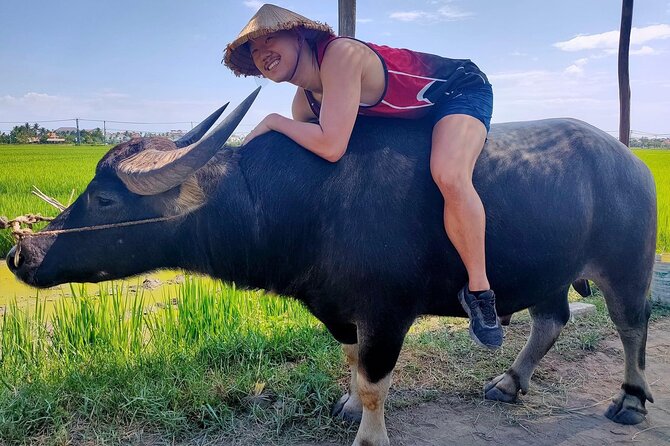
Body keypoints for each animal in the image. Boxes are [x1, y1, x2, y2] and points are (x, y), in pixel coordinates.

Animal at [7, 88, 657, 446]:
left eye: (106, 199)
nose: (21, 253)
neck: (305, 201)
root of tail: (630, 160)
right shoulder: (337, 308)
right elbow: (351, 363)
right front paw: (346, 404)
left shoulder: (388, 314)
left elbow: (374, 379)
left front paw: (369, 433)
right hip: (548, 269)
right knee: (551, 320)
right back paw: (509, 382)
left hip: (627, 264)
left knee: (632, 325)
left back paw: (629, 400)